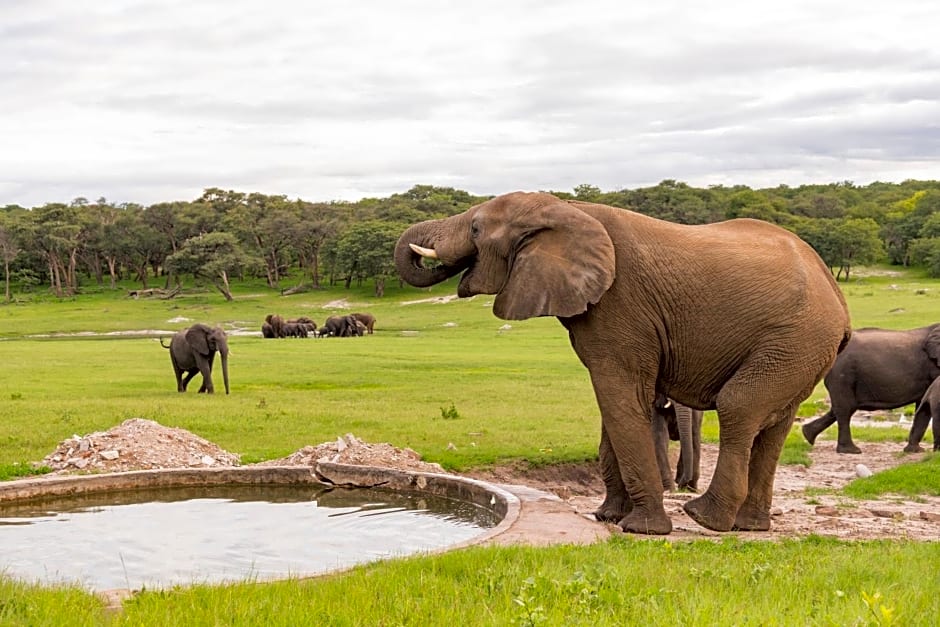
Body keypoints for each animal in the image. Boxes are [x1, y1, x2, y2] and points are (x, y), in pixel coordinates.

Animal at [392, 190, 848, 536]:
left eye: (474, 229)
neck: (565, 208)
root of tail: (836, 293)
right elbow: (618, 405)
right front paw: (608, 517)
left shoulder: (620, 306)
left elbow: (619, 396)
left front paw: (641, 529)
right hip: (799, 349)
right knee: (774, 424)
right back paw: (749, 526)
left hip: (795, 339)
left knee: (739, 406)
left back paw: (705, 518)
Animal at [800, 326, 940, 454]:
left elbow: (923, 406)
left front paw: (915, 451)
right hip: (842, 376)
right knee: (846, 409)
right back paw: (851, 450)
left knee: (839, 408)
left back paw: (807, 435)